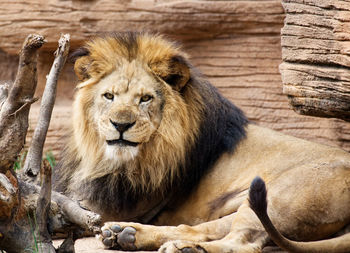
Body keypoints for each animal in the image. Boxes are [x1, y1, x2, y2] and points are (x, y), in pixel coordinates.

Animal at [53, 32, 350, 252]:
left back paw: (183, 248)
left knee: (243, 243)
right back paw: (126, 234)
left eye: (145, 99)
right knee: (200, 229)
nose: (121, 125)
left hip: (278, 197)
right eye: (109, 96)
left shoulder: (106, 205)